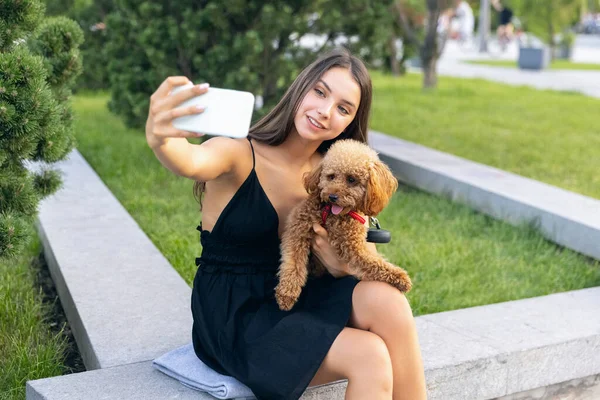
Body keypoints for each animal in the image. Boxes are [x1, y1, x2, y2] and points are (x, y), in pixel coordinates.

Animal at [276, 139, 412, 310]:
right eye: (331, 176)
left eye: (351, 179)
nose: (332, 196)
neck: (332, 216)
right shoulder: (298, 229)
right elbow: (293, 262)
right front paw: (287, 294)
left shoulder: (354, 245)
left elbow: (373, 262)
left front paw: (400, 277)